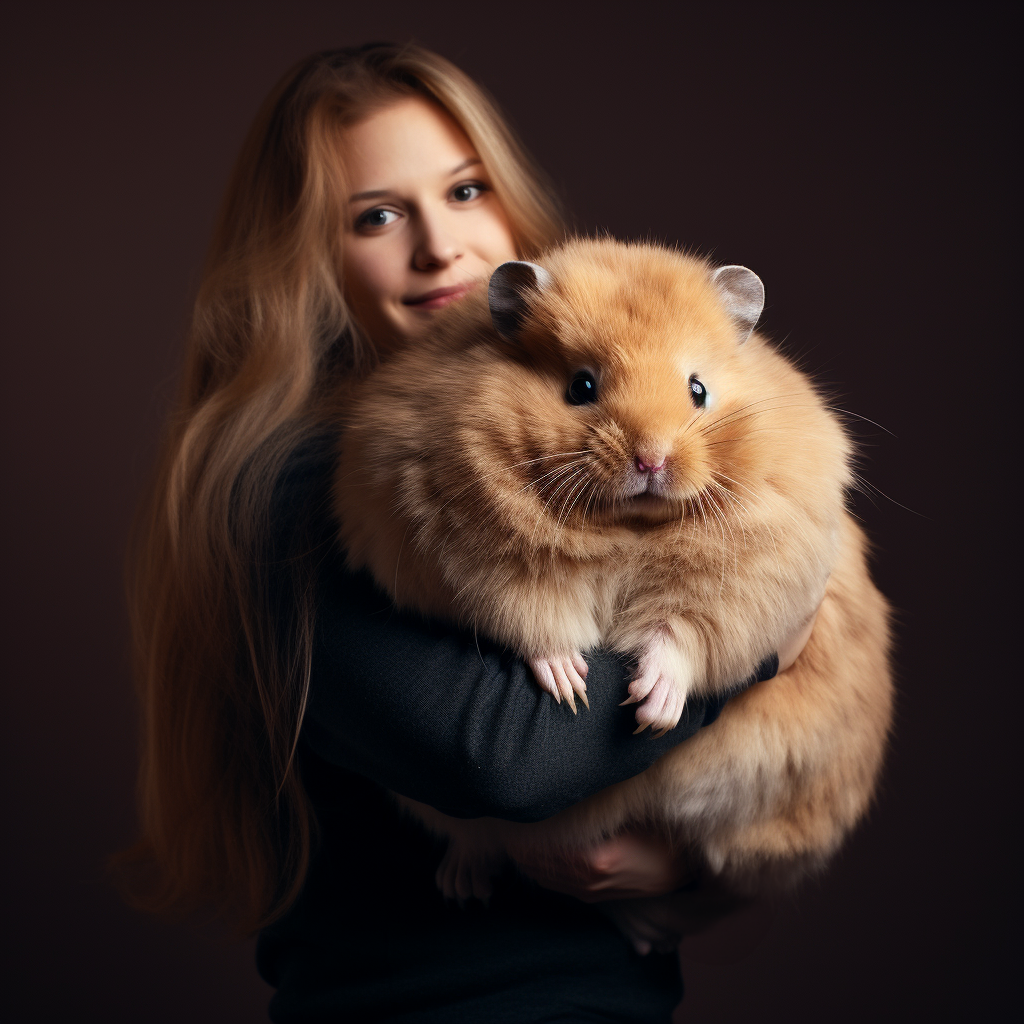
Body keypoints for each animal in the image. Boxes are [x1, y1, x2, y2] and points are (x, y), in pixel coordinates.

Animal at [333, 238, 893, 905]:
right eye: (580, 386)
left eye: (698, 390)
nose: (651, 459)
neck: (626, 529)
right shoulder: (460, 555)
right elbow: (530, 615)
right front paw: (571, 690)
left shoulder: (750, 581)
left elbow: (682, 635)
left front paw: (651, 713)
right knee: (474, 840)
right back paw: (462, 885)